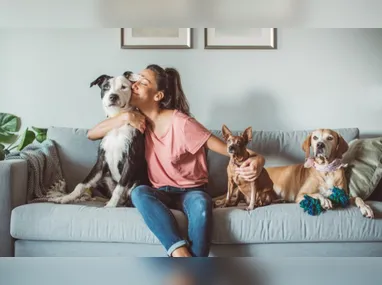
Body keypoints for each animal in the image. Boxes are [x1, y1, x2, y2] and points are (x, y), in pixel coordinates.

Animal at [51, 71, 149, 206]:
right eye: (106, 87)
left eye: (124, 87)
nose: (113, 96)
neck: (116, 120)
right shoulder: (101, 161)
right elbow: (81, 184)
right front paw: (66, 197)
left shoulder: (130, 160)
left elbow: (119, 187)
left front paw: (111, 205)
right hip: (103, 177)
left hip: (137, 182)